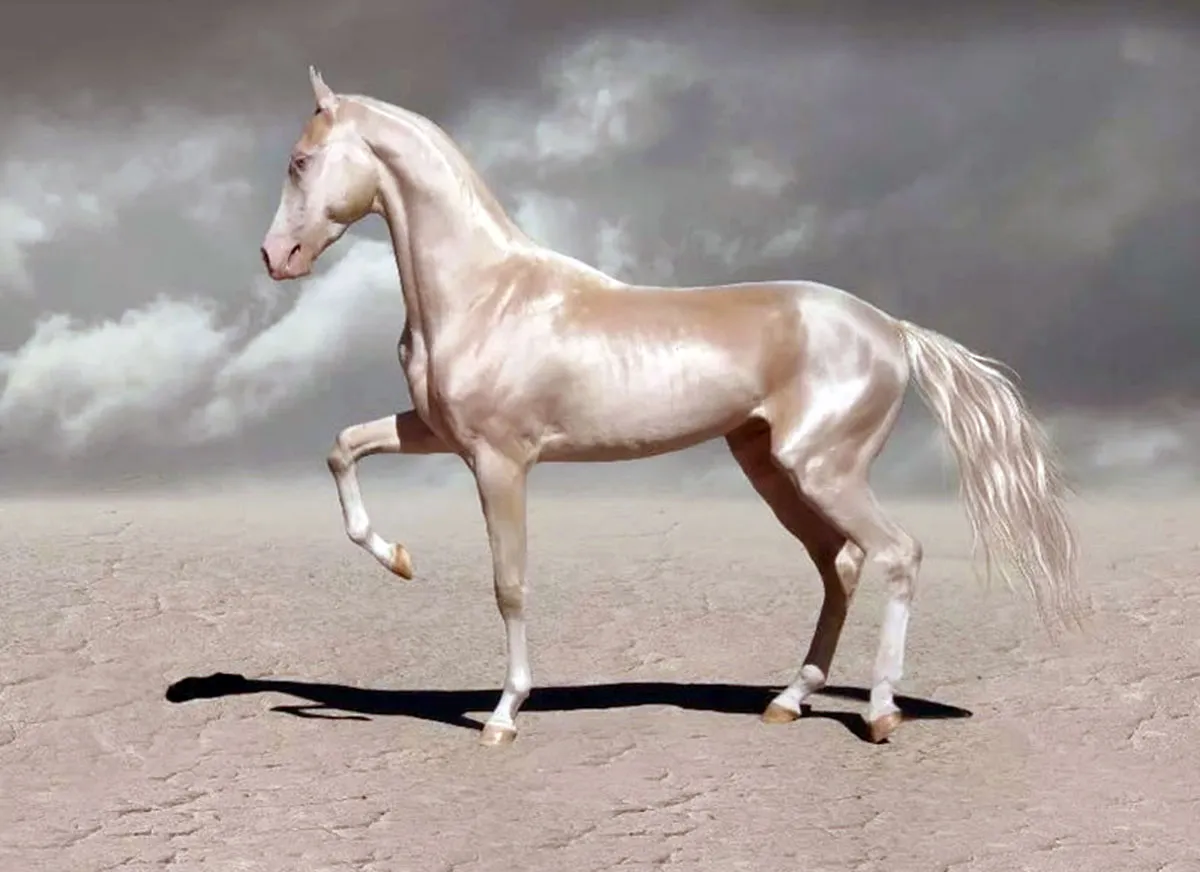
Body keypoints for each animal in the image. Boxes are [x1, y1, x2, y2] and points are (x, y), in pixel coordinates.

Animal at [259, 67, 1083, 747]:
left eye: (299, 162)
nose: (275, 258)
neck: (486, 293)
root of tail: (892, 330)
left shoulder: (500, 462)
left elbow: (509, 584)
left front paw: (502, 716)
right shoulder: (438, 434)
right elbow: (342, 446)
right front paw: (397, 558)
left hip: (824, 470)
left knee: (897, 553)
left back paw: (881, 713)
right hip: (773, 470)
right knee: (839, 566)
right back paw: (787, 702)